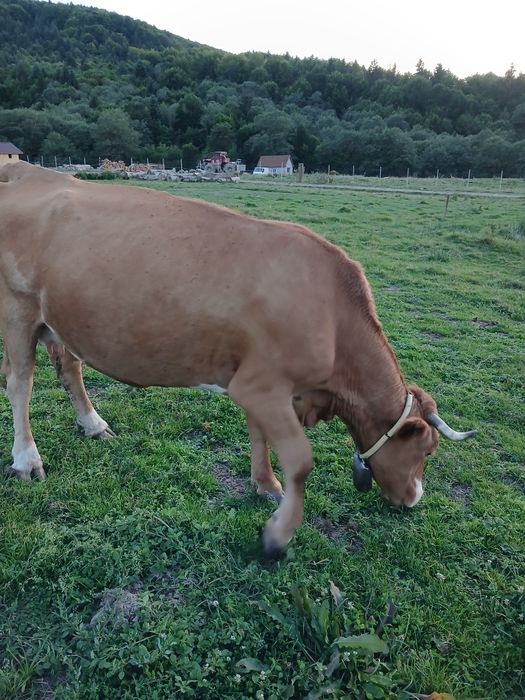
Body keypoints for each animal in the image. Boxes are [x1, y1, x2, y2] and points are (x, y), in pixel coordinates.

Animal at [0, 162, 475, 554]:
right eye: (427, 450)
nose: (414, 499)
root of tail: (28, 172)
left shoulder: (263, 384)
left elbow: (260, 436)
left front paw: (264, 484)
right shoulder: (260, 385)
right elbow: (301, 462)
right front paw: (278, 534)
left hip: (61, 318)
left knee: (69, 367)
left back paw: (93, 424)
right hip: (17, 311)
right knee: (20, 383)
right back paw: (27, 460)